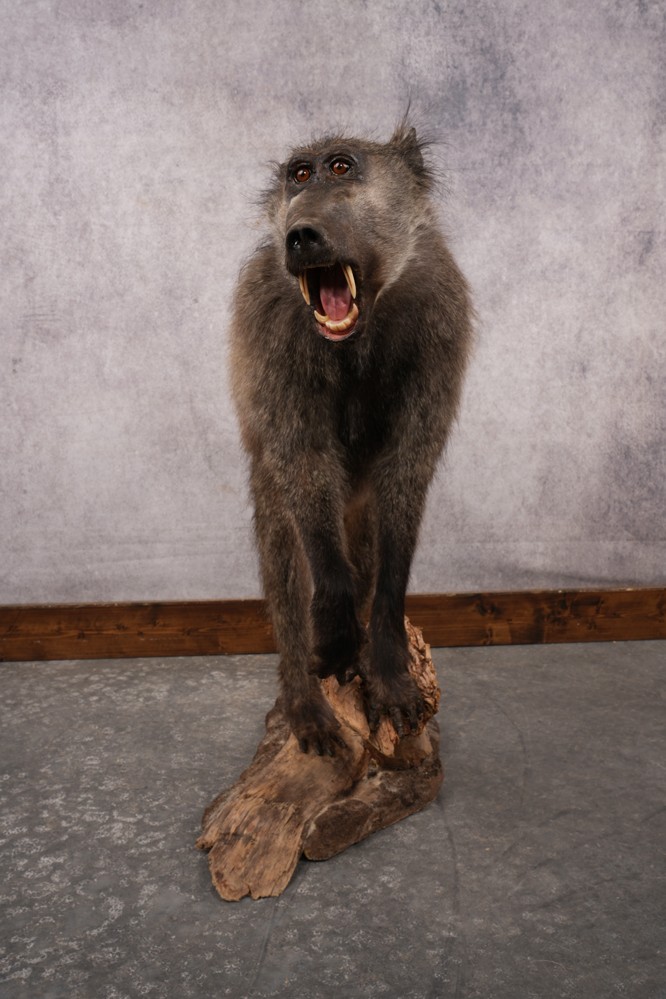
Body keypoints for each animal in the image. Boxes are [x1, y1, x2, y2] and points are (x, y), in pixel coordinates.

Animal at [229, 122, 472, 756]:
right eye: (300, 175)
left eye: (341, 166)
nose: (300, 235)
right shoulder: (269, 326)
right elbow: (303, 462)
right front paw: (334, 630)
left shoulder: (441, 318)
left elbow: (406, 479)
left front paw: (386, 669)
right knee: (285, 547)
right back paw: (305, 702)